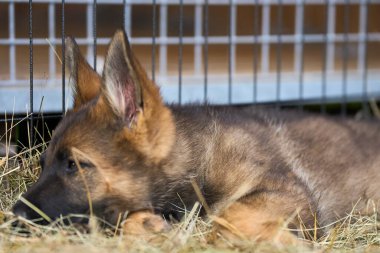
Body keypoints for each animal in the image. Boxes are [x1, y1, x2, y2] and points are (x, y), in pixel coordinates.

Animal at [13, 30, 380, 243]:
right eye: (42, 164)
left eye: (74, 165)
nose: (14, 216)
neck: (194, 158)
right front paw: (146, 225)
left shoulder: (292, 195)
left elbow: (230, 216)